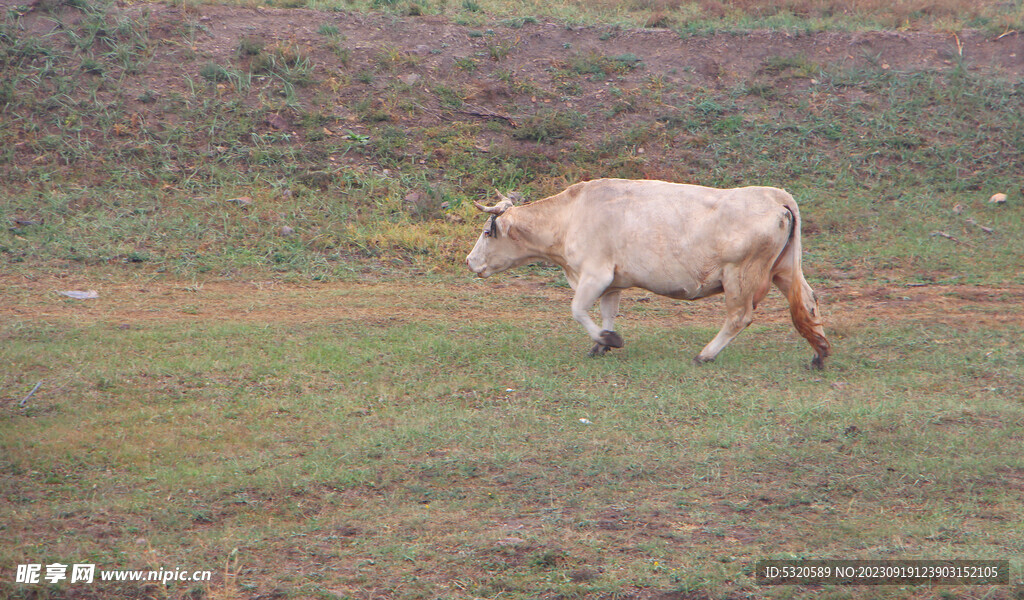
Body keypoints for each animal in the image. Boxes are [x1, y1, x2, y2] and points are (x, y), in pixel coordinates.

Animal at [464, 175, 831, 366]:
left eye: (486, 232)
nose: (469, 261)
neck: (570, 215)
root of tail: (773, 195)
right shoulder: (612, 282)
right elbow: (607, 312)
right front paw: (601, 344)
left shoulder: (594, 274)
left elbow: (578, 310)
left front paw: (609, 339)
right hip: (785, 270)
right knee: (808, 301)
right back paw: (820, 353)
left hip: (740, 275)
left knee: (739, 317)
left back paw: (705, 354)